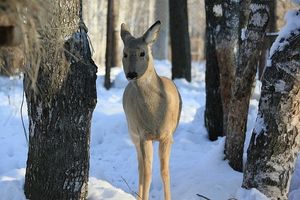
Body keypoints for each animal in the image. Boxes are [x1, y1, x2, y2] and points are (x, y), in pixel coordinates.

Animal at [120, 20, 182, 200]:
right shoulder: (143, 135)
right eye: (125, 54)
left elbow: (164, 171)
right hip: (132, 133)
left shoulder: (167, 135)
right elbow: (147, 172)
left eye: (142, 53)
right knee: (140, 166)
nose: (131, 74)